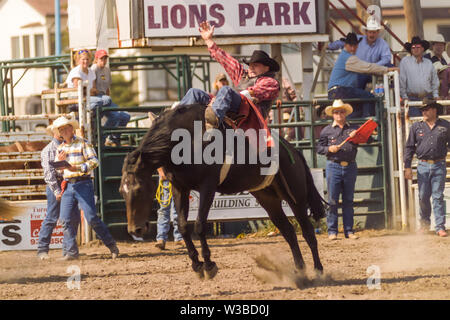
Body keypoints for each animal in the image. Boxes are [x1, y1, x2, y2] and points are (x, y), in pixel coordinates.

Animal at [119, 104, 326, 278]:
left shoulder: (207, 187)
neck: (184, 140)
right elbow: (183, 226)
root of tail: (294, 151)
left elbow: (199, 225)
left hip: (296, 196)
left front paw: (209, 265)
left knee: (307, 231)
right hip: (268, 199)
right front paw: (196, 265)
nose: (135, 229)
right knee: (289, 232)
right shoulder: (180, 187)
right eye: (121, 191)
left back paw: (318, 271)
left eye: (139, 188)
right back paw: (300, 270)